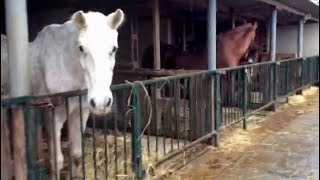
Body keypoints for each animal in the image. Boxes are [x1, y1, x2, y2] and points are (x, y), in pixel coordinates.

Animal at [0, 9, 125, 179]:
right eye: (81, 48)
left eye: (114, 49)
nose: (101, 103)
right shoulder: (53, 115)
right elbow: (56, 160)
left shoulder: (80, 111)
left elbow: (76, 154)